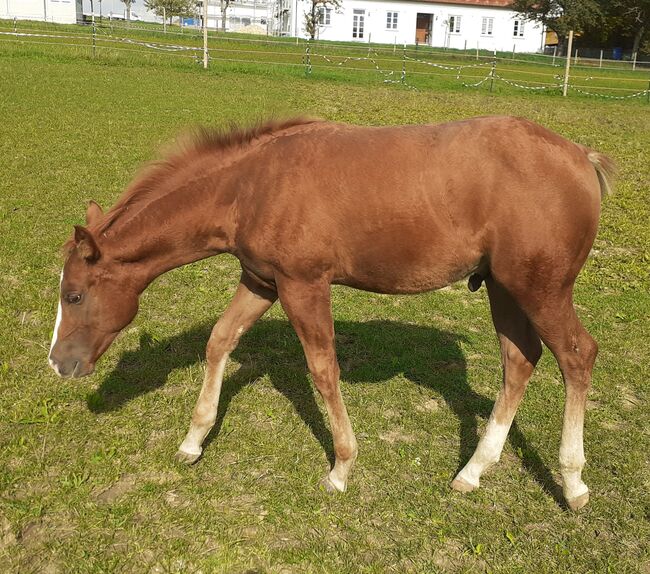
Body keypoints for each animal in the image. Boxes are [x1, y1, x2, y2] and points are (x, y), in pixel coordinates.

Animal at [48, 115, 612, 510]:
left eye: (73, 295)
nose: (59, 363)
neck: (251, 186)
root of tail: (581, 157)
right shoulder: (262, 281)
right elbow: (219, 340)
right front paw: (193, 440)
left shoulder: (304, 285)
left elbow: (322, 369)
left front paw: (341, 469)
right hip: (504, 288)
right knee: (520, 360)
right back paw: (473, 471)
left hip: (541, 290)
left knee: (577, 356)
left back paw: (574, 482)